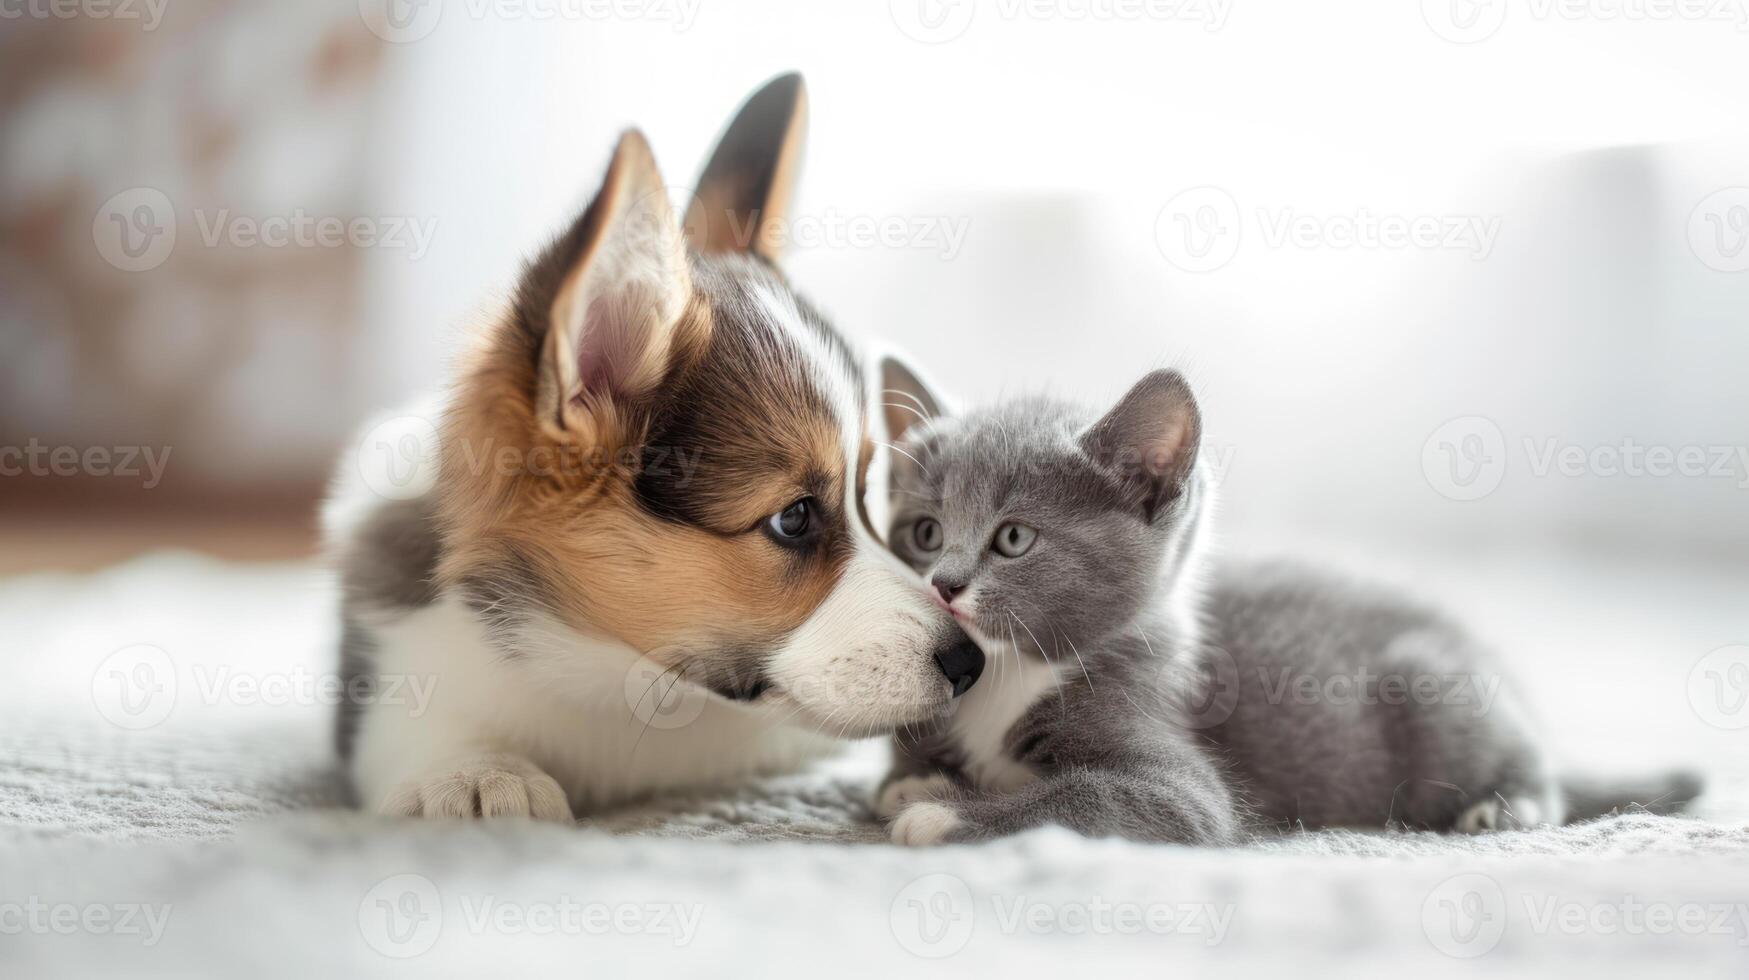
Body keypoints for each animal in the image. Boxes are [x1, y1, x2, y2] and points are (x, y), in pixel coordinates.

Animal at [327, 74, 986, 819]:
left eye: (864, 493)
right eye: (793, 518)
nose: (972, 664)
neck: (630, 687)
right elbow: (423, 730)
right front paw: (474, 772)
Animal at [874, 364, 1693, 847]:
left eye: (1013, 537)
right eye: (925, 533)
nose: (941, 583)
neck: (1009, 677)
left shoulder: (1180, 782)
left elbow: (1090, 800)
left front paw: (939, 811)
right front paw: (914, 778)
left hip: (1435, 686)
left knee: (1534, 778)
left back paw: (1506, 807)